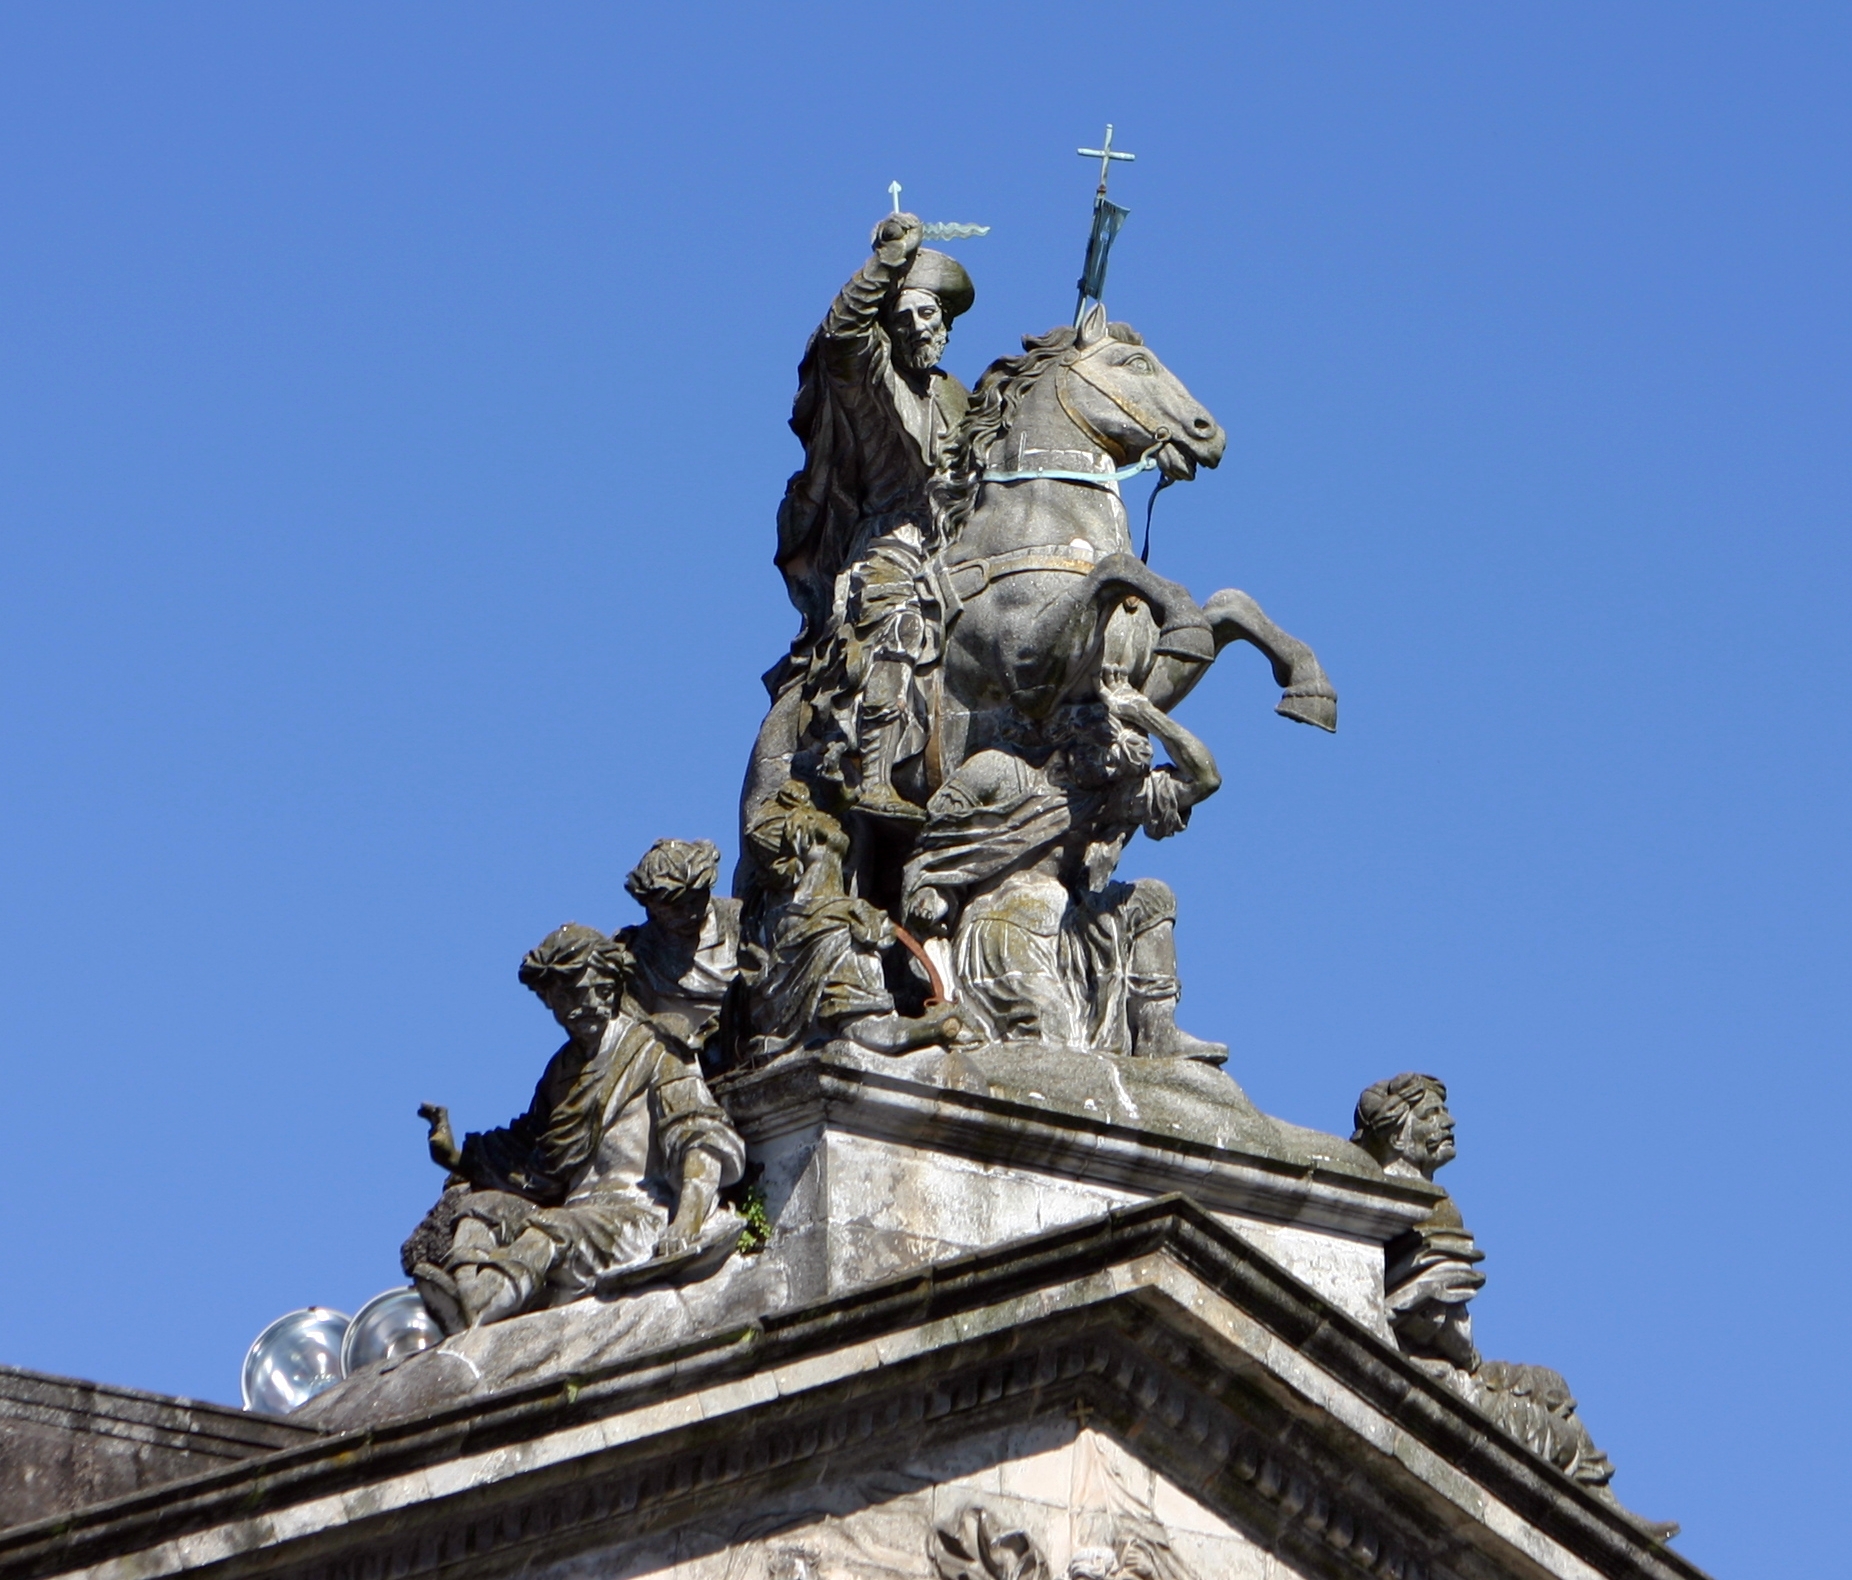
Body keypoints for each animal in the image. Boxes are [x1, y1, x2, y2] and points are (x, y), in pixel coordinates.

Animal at [933, 301, 1340, 770]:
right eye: (1137, 363)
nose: (1210, 433)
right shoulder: (1025, 677)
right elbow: (1120, 565)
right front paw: (1186, 618)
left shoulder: (1135, 679)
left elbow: (1231, 604)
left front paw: (1310, 686)